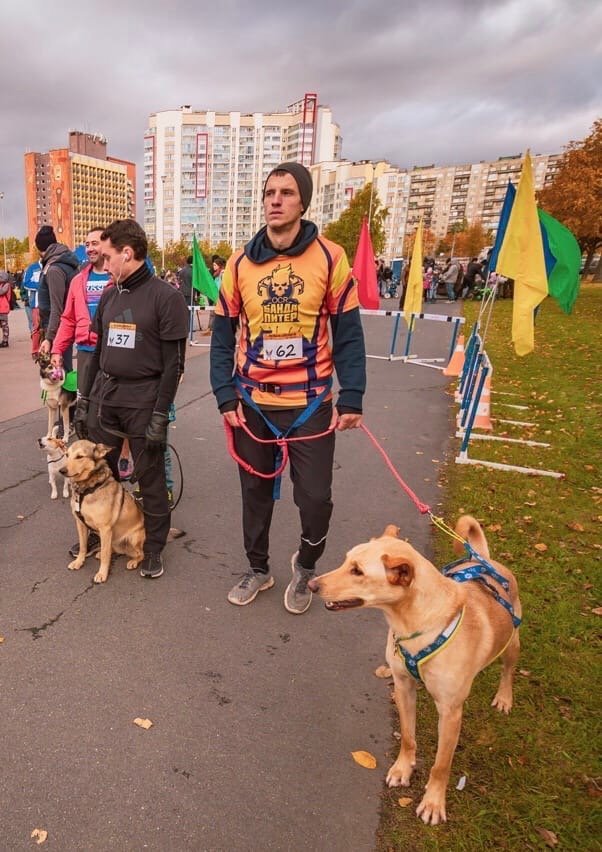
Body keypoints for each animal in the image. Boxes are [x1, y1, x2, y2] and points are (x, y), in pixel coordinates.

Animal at [60, 440, 145, 584]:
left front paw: (102, 574)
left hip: (133, 538)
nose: (62, 471)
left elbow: (106, 556)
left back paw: (133, 562)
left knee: (141, 554)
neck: (87, 490)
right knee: (112, 549)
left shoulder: (105, 528)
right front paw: (79, 562)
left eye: (79, 457)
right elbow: (83, 547)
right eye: (66, 455)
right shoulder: (80, 524)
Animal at [308, 516, 516, 828]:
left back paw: (504, 696)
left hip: (512, 643)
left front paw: (433, 801)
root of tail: (485, 561)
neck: (418, 624)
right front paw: (402, 769)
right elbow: (407, 736)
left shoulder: (451, 713)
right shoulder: (404, 687)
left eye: (357, 571)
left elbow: (441, 765)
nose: (311, 584)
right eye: (346, 561)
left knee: (508, 670)